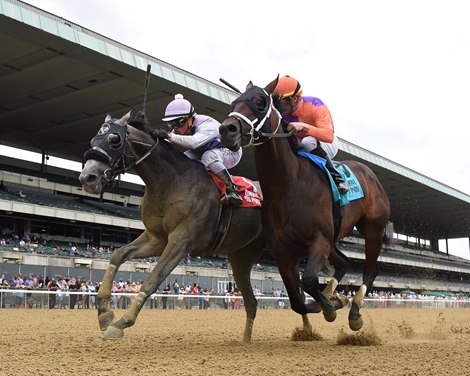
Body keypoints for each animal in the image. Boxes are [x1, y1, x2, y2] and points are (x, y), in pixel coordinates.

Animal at [79, 111, 266, 340]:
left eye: (115, 139)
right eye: (93, 140)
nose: (87, 178)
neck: (171, 182)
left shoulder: (181, 241)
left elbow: (153, 279)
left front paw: (121, 323)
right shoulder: (156, 238)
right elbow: (117, 255)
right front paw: (104, 314)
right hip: (241, 256)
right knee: (252, 302)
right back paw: (246, 341)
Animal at [220, 78, 392, 330]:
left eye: (260, 102)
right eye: (234, 102)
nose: (226, 130)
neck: (288, 187)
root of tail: (369, 173)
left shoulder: (318, 240)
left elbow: (309, 280)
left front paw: (332, 306)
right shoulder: (283, 253)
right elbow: (297, 300)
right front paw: (332, 302)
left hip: (372, 229)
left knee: (370, 270)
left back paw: (354, 311)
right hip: (334, 238)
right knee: (345, 262)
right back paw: (332, 294)